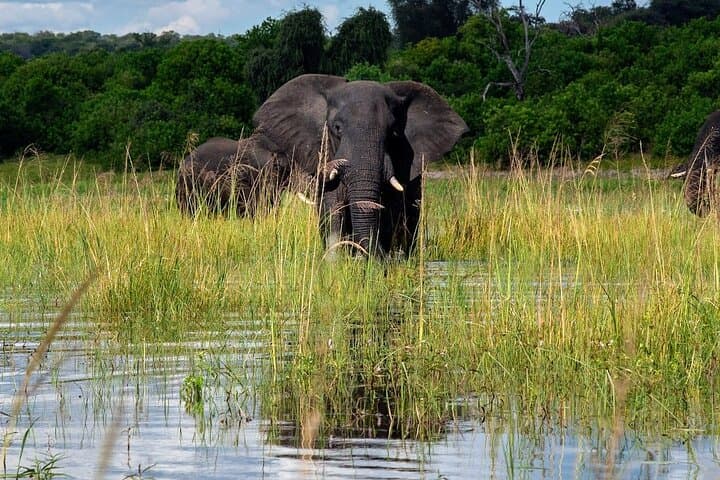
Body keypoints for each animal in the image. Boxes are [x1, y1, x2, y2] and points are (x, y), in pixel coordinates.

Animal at [252, 74, 469, 257]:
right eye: (337, 129)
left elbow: (391, 209)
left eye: (394, 132)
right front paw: (337, 260)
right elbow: (332, 207)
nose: (369, 255)